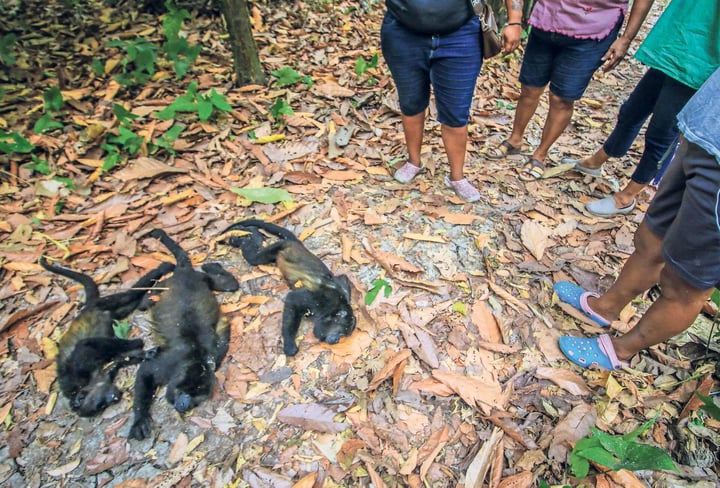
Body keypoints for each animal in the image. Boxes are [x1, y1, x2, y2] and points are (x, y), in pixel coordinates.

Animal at [40, 255, 175, 416]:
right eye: (101, 406)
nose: (114, 398)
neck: (87, 383)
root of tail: (85, 309)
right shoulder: (104, 373)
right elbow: (121, 359)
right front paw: (145, 354)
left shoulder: (77, 370)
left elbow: (85, 345)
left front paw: (137, 343)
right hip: (109, 311)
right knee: (128, 305)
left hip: (101, 304)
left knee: (126, 296)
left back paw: (160, 270)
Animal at [129, 230, 239, 442]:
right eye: (185, 391)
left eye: (197, 397)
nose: (185, 404)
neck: (194, 359)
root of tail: (184, 273)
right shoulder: (168, 364)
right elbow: (145, 372)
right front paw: (139, 420)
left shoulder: (213, 355)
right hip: (167, 284)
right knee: (148, 300)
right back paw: (147, 298)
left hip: (202, 279)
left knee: (229, 284)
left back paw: (213, 267)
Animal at [219, 219, 354, 356]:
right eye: (341, 333)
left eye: (343, 336)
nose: (337, 340)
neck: (333, 307)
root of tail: (297, 244)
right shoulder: (320, 299)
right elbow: (292, 299)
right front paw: (290, 345)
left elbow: (342, 278)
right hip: (281, 246)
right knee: (254, 258)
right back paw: (244, 238)